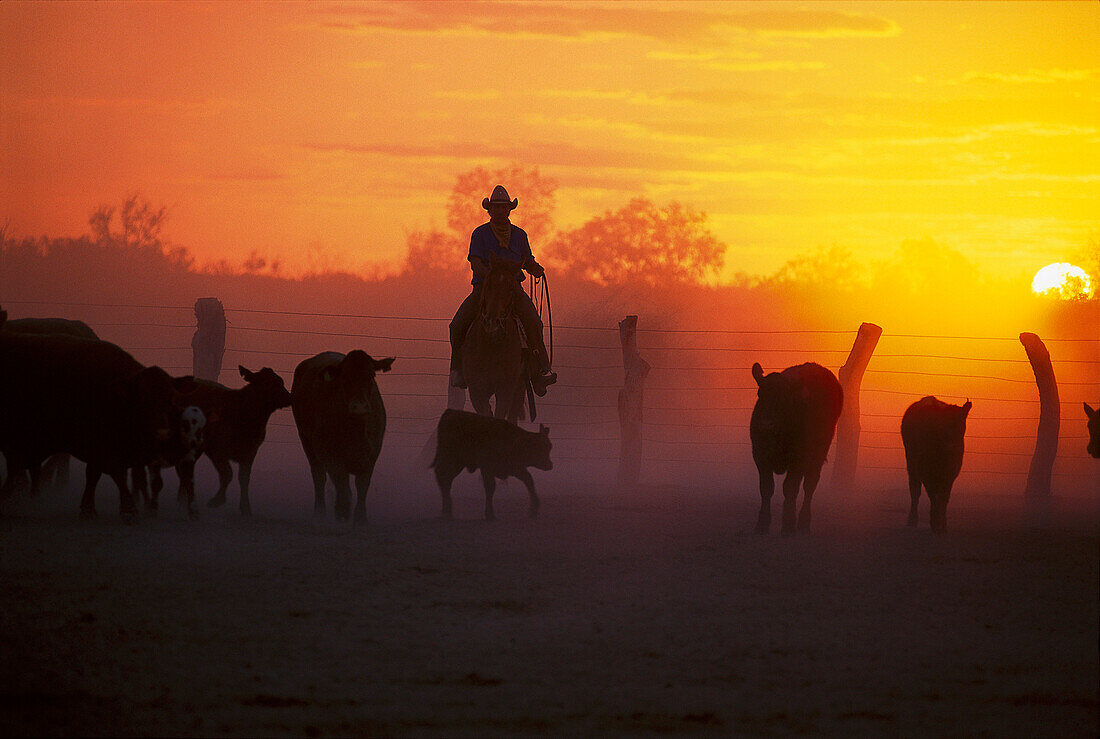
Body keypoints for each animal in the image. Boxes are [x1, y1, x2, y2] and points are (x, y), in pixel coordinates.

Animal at [292, 349, 396, 523]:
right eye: (344, 376)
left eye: (371, 375)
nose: (359, 406)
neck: (356, 432)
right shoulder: (330, 454)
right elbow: (342, 486)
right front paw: (341, 513)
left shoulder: (372, 454)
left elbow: (362, 487)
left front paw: (360, 518)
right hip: (306, 441)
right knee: (319, 477)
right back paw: (319, 513)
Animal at [459, 254, 528, 422]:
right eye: (488, 284)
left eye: (511, 289)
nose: (492, 321)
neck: (491, 345)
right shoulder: (477, 391)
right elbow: (486, 413)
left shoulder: (505, 390)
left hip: (519, 387)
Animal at [752, 362, 844, 532]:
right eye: (760, 395)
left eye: (784, 399)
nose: (766, 425)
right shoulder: (760, 457)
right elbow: (766, 488)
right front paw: (762, 524)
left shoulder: (799, 459)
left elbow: (790, 488)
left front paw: (788, 523)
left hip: (818, 455)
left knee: (810, 485)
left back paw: (803, 522)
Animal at [902, 398, 972, 532]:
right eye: (942, 424)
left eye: (961, 423)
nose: (952, 446)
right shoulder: (925, 471)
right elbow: (933, 494)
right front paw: (934, 522)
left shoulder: (951, 472)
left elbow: (944, 497)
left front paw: (942, 524)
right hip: (911, 463)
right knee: (915, 490)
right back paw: (912, 520)